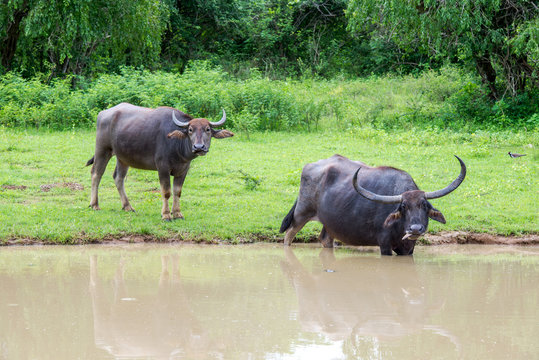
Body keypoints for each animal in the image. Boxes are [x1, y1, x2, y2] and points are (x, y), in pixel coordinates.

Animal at [85, 102, 233, 221]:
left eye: (207, 129)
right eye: (190, 130)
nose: (199, 147)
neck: (177, 146)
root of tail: (103, 113)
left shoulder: (183, 170)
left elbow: (177, 191)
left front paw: (177, 213)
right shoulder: (163, 168)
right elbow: (166, 192)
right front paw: (166, 215)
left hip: (123, 158)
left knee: (118, 178)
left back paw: (127, 206)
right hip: (103, 150)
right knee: (96, 174)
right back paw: (94, 204)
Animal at [280, 155, 466, 256]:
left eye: (424, 205)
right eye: (403, 207)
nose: (414, 229)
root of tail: (310, 166)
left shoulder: (408, 248)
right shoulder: (384, 244)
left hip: (329, 223)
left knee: (325, 239)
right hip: (301, 213)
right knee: (288, 235)